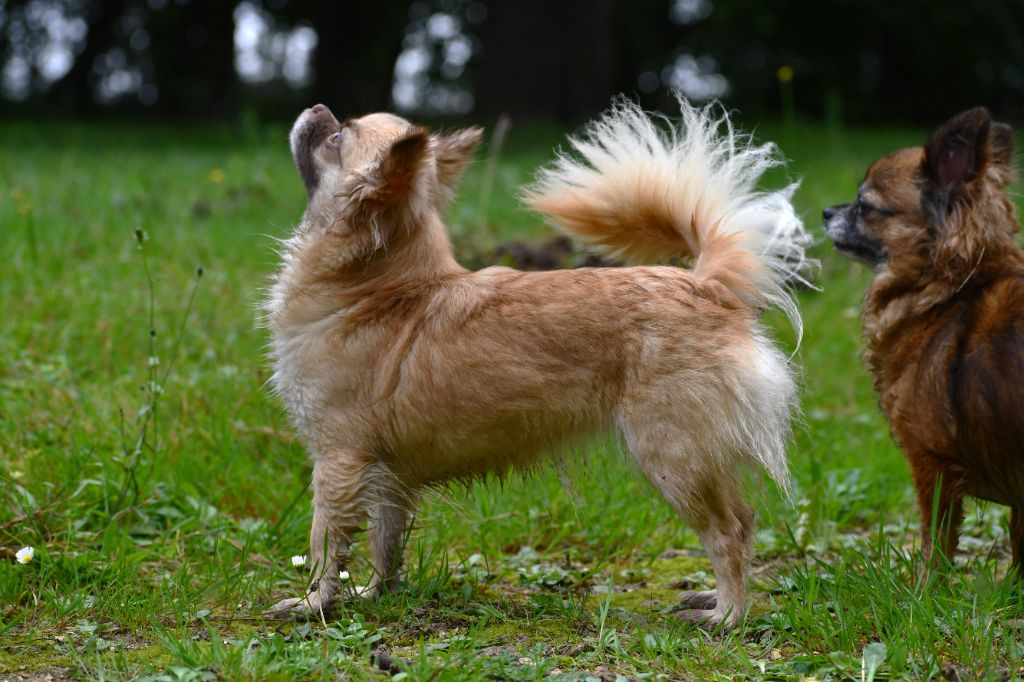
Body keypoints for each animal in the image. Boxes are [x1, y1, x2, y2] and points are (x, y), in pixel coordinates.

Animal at [268, 96, 811, 626]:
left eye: (339, 136)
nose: (318, 108)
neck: (377, 290)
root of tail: (704, 283)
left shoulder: (338, 463)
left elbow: (325, 544)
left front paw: (315, 604)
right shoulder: (386, 476)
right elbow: (386, 543)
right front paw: (375, 595)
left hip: (673, 456)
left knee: (728, 530)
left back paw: (728, 614)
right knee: (744, 520)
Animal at [823, 109, 1024, 569]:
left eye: (864, 206)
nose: (825, 211)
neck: (948, 291)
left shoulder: (931, 463)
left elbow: (937, 541)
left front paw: (926, 584)